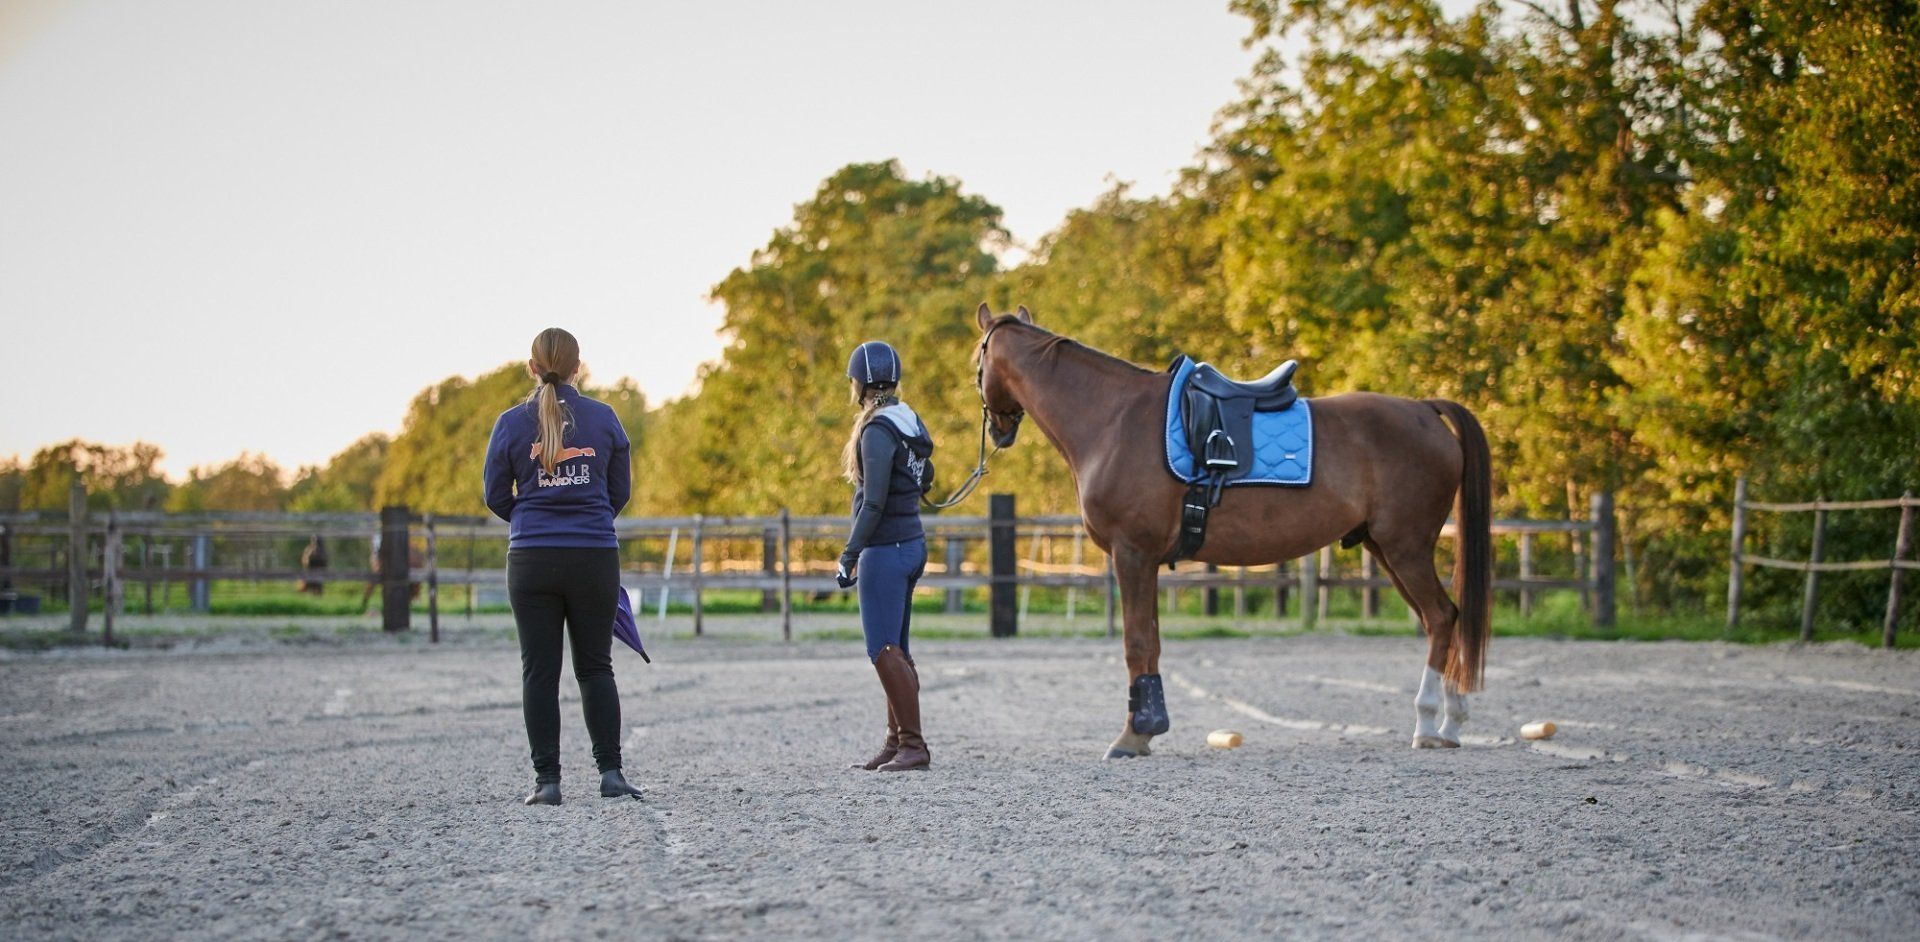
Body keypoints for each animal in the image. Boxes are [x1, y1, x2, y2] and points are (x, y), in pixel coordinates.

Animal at [967, 306, 1489, 763]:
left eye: (977, 361)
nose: (1000, 430)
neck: (1112, 419)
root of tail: (1425, 409)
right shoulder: (1145, 560)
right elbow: (1151, 642)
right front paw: (1149, 728)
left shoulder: (1131, 553)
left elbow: (1136, 644)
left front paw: (1134, 736)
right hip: (1386, 548)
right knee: (1443, 618)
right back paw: (1451, 723)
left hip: (1406, 548)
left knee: (1441, 616)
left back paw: (1428, 723)